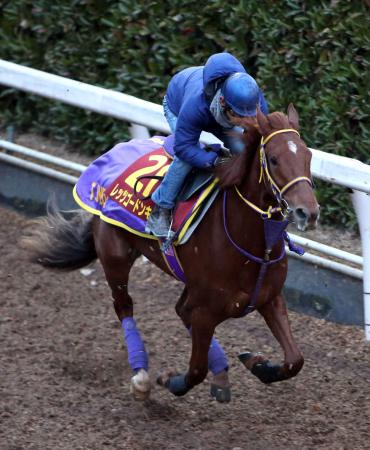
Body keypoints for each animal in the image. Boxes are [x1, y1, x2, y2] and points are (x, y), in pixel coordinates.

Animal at [22, 106, 318, 404]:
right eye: (274, 159)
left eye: (308, 156)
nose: (308, 212)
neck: (254, 246)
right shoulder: (205, 312)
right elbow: (196, 370)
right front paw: (169, 380)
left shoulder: (270, 298)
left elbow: (295, 360)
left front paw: (257, 364)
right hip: (114, 254)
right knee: (124, 305)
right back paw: (141, 376)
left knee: (180, 309)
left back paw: (220, 374)